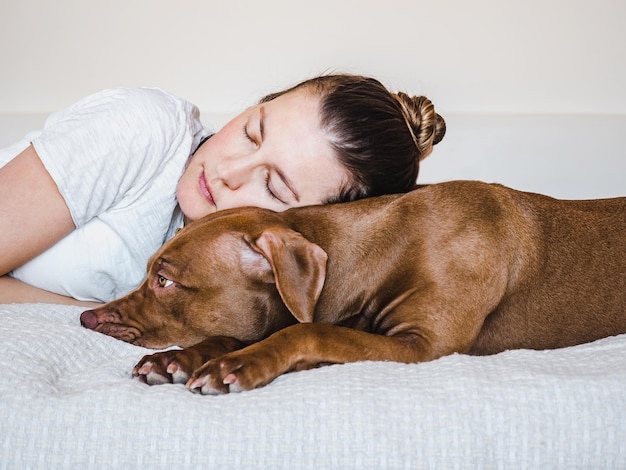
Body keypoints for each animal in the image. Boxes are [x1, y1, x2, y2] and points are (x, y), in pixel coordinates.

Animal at [80, 180, 624, 392]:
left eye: (165, 279)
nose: (86, 316)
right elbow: (234, 333)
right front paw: (176, 359)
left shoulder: (423, 347)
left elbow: (308, 331)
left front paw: (237, 364)